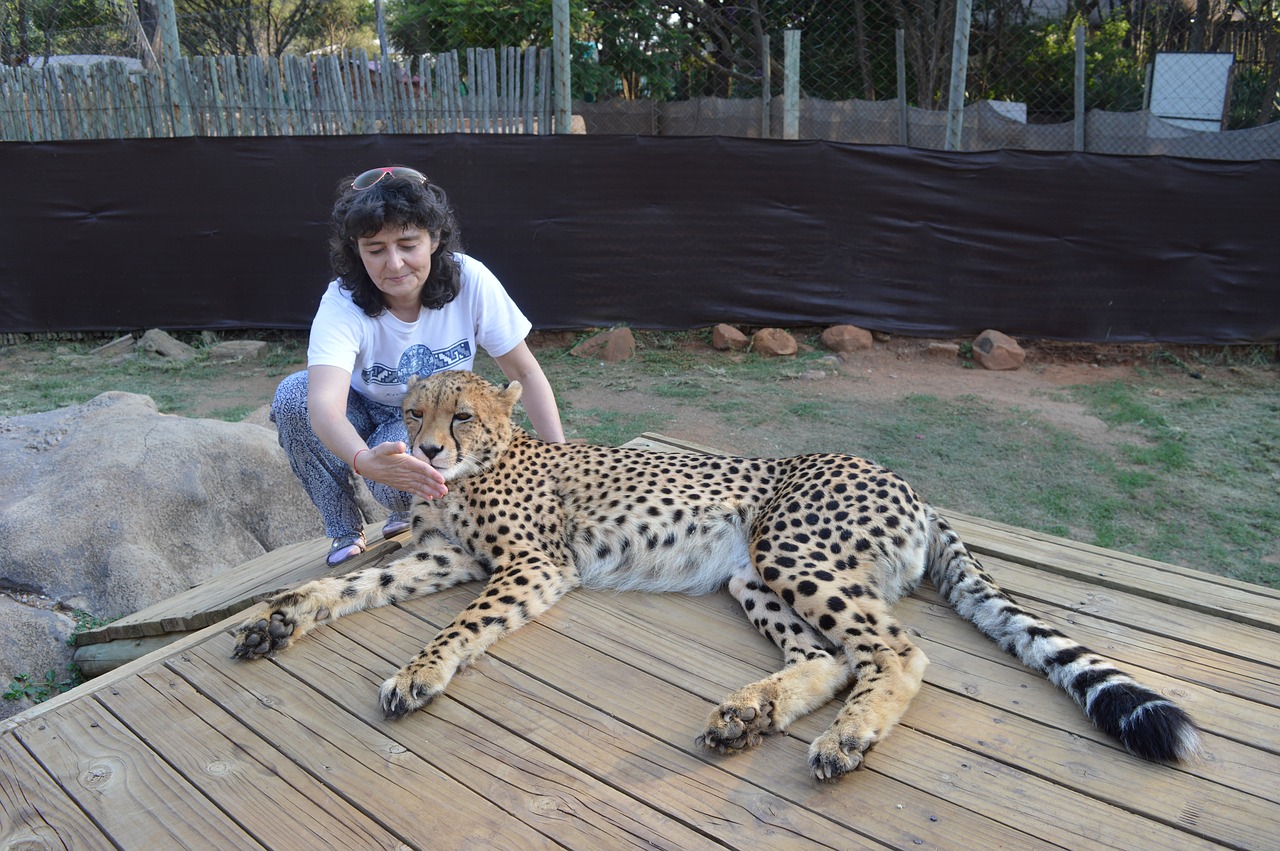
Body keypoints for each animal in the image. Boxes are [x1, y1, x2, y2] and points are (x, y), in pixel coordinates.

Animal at [238, 368, 1198, 778]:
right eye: (413, 412)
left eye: (461, 415)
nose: (429, 450)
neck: (484, 463)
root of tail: (905, 481)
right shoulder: (447, 554)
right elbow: (346, 587)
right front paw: (276, 617)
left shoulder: (535, 564)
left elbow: (461, 624)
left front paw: (419, 671)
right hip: (753, 573)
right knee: (831, 656)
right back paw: (750, 713)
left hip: (794, 549)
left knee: (898, 649)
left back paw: (847, 736)